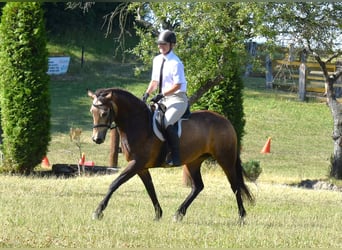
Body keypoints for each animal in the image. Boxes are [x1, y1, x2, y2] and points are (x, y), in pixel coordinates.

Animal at [88, 88, 254, 223]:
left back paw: (241, 216)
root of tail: (226, 121)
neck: (137, 122)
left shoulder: (136, 163)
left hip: (225, 159)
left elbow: (115, 183)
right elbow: (150, 188)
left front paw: (98, 211)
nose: (97, 139)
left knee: (235, 185)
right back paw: (178, 214)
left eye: (104, 113)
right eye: (92, 112)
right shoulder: (141, 167)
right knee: (198, 186)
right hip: (193, 161)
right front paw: (158, 214)